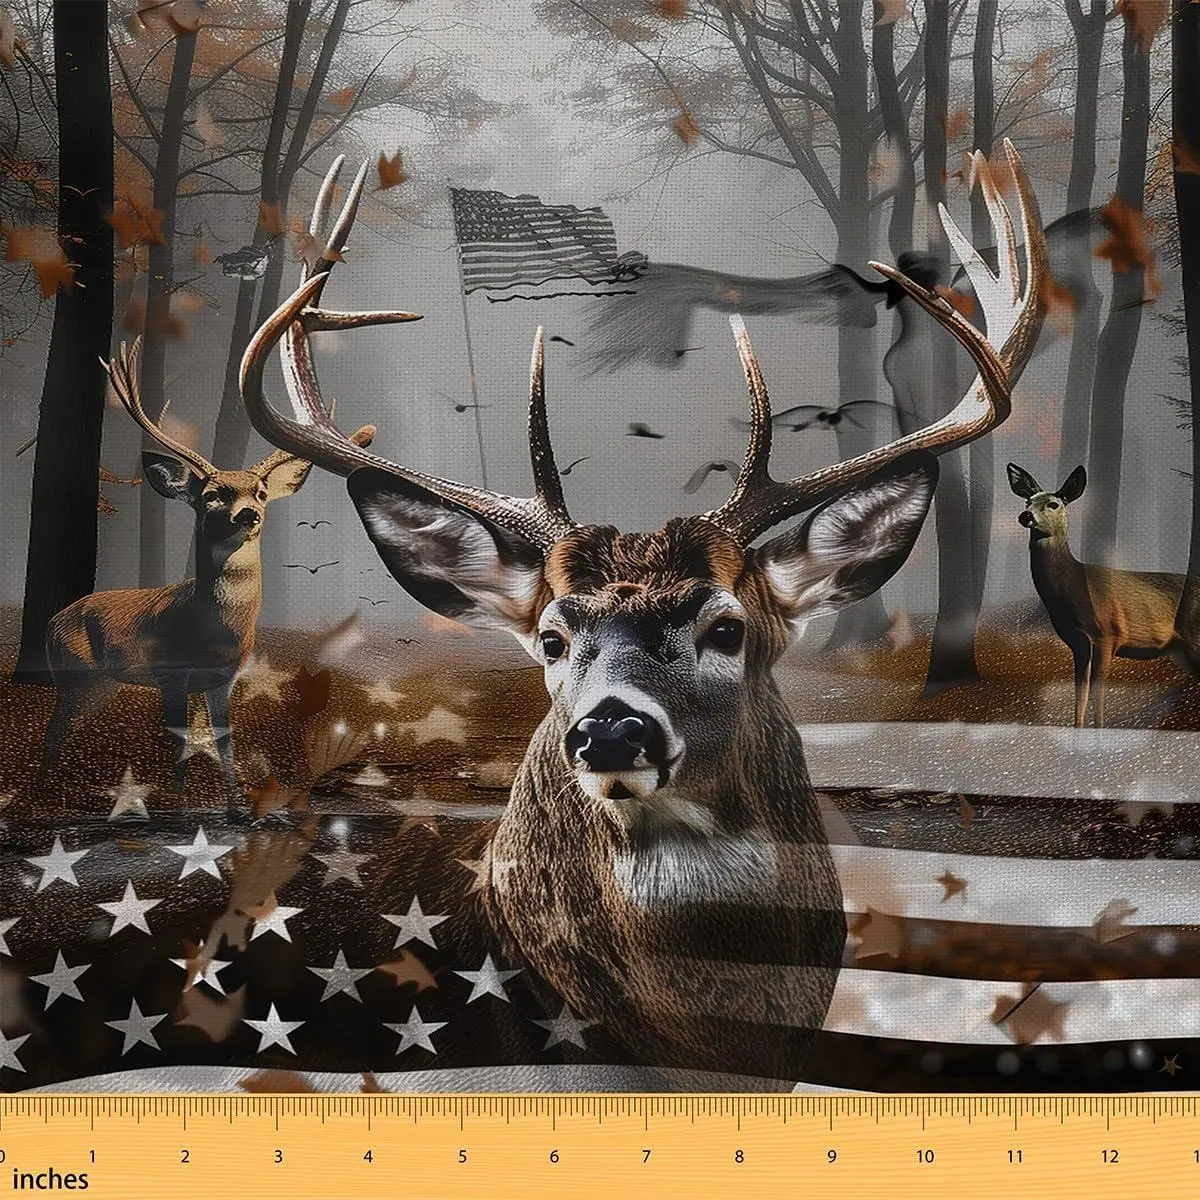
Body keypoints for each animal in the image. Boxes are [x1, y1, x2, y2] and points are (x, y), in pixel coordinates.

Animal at [40, 338, 387, 804]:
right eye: (211, 495)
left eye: (260, 492)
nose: (248, 515)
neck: (213, 631)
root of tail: (54, 619)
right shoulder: (170, 672)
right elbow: (178, 739)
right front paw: (179, 805)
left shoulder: (224, 678)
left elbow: (224, 737)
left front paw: (235, 802)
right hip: (74, 674)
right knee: (54, 728)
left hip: (103, 683)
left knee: (68, 728)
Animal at [1007, 462, 1198, 728]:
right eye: (1027, 502)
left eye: (1053, 504)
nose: (1026, 516)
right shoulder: (1077, 643)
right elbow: (1081, 690)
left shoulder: (1108, 635)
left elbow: (1098, 690)